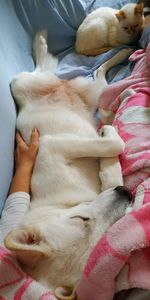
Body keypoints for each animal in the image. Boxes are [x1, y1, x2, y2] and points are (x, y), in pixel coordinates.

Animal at [4, 32, 132, 298]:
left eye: (80, 218)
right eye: (104, 236)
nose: (127, 192)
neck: (66, 203)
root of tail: (63, 87)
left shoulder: (52, 147)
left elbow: (109, 151)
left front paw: (105, 132)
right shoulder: (52, 146)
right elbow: (114, 148)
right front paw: (109, 131)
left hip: (72, 89)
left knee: (93, 71)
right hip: (28, 85)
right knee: (61, 71)